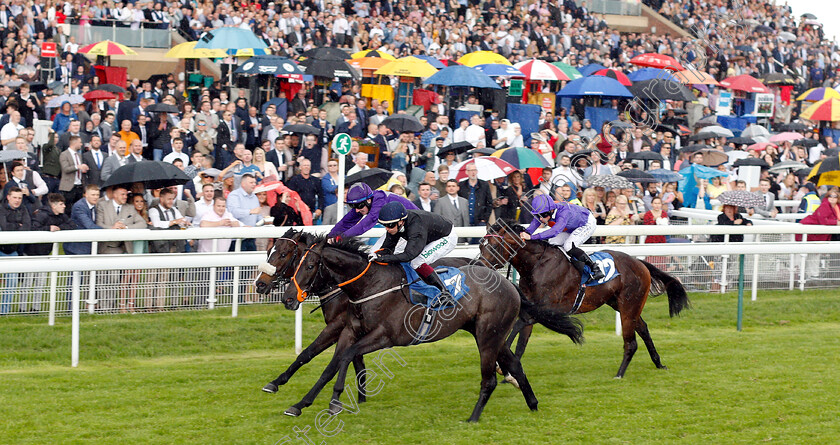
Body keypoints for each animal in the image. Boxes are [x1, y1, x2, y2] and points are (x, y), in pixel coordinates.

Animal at [278, 234, 580, 422]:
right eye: (296, 263)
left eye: (311, 265)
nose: (288, 298)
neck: (369, 286)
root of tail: (509, 283)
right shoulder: (350, 330)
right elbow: (331, 364)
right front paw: (300, 404)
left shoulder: (385, 337)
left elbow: (346, 357)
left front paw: (335, 402)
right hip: (490, 334)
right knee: (515, 365)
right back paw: (533, 404)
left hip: (488, 335)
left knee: (490, 378)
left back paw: (473, 418)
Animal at [480, 220, 688, 376]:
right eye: (482, 244)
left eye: (495, 246)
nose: (480, 266)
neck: (536, 265)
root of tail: (640, 263)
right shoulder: (533, 308)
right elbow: (522, 342)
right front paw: (509, 371)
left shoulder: (546, 309)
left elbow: (520, 323)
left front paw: (501, 364)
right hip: (621, 304)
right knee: (643, 328)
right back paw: (658, 363)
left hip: (629, 304)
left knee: (631, 341)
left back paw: (620, 373)